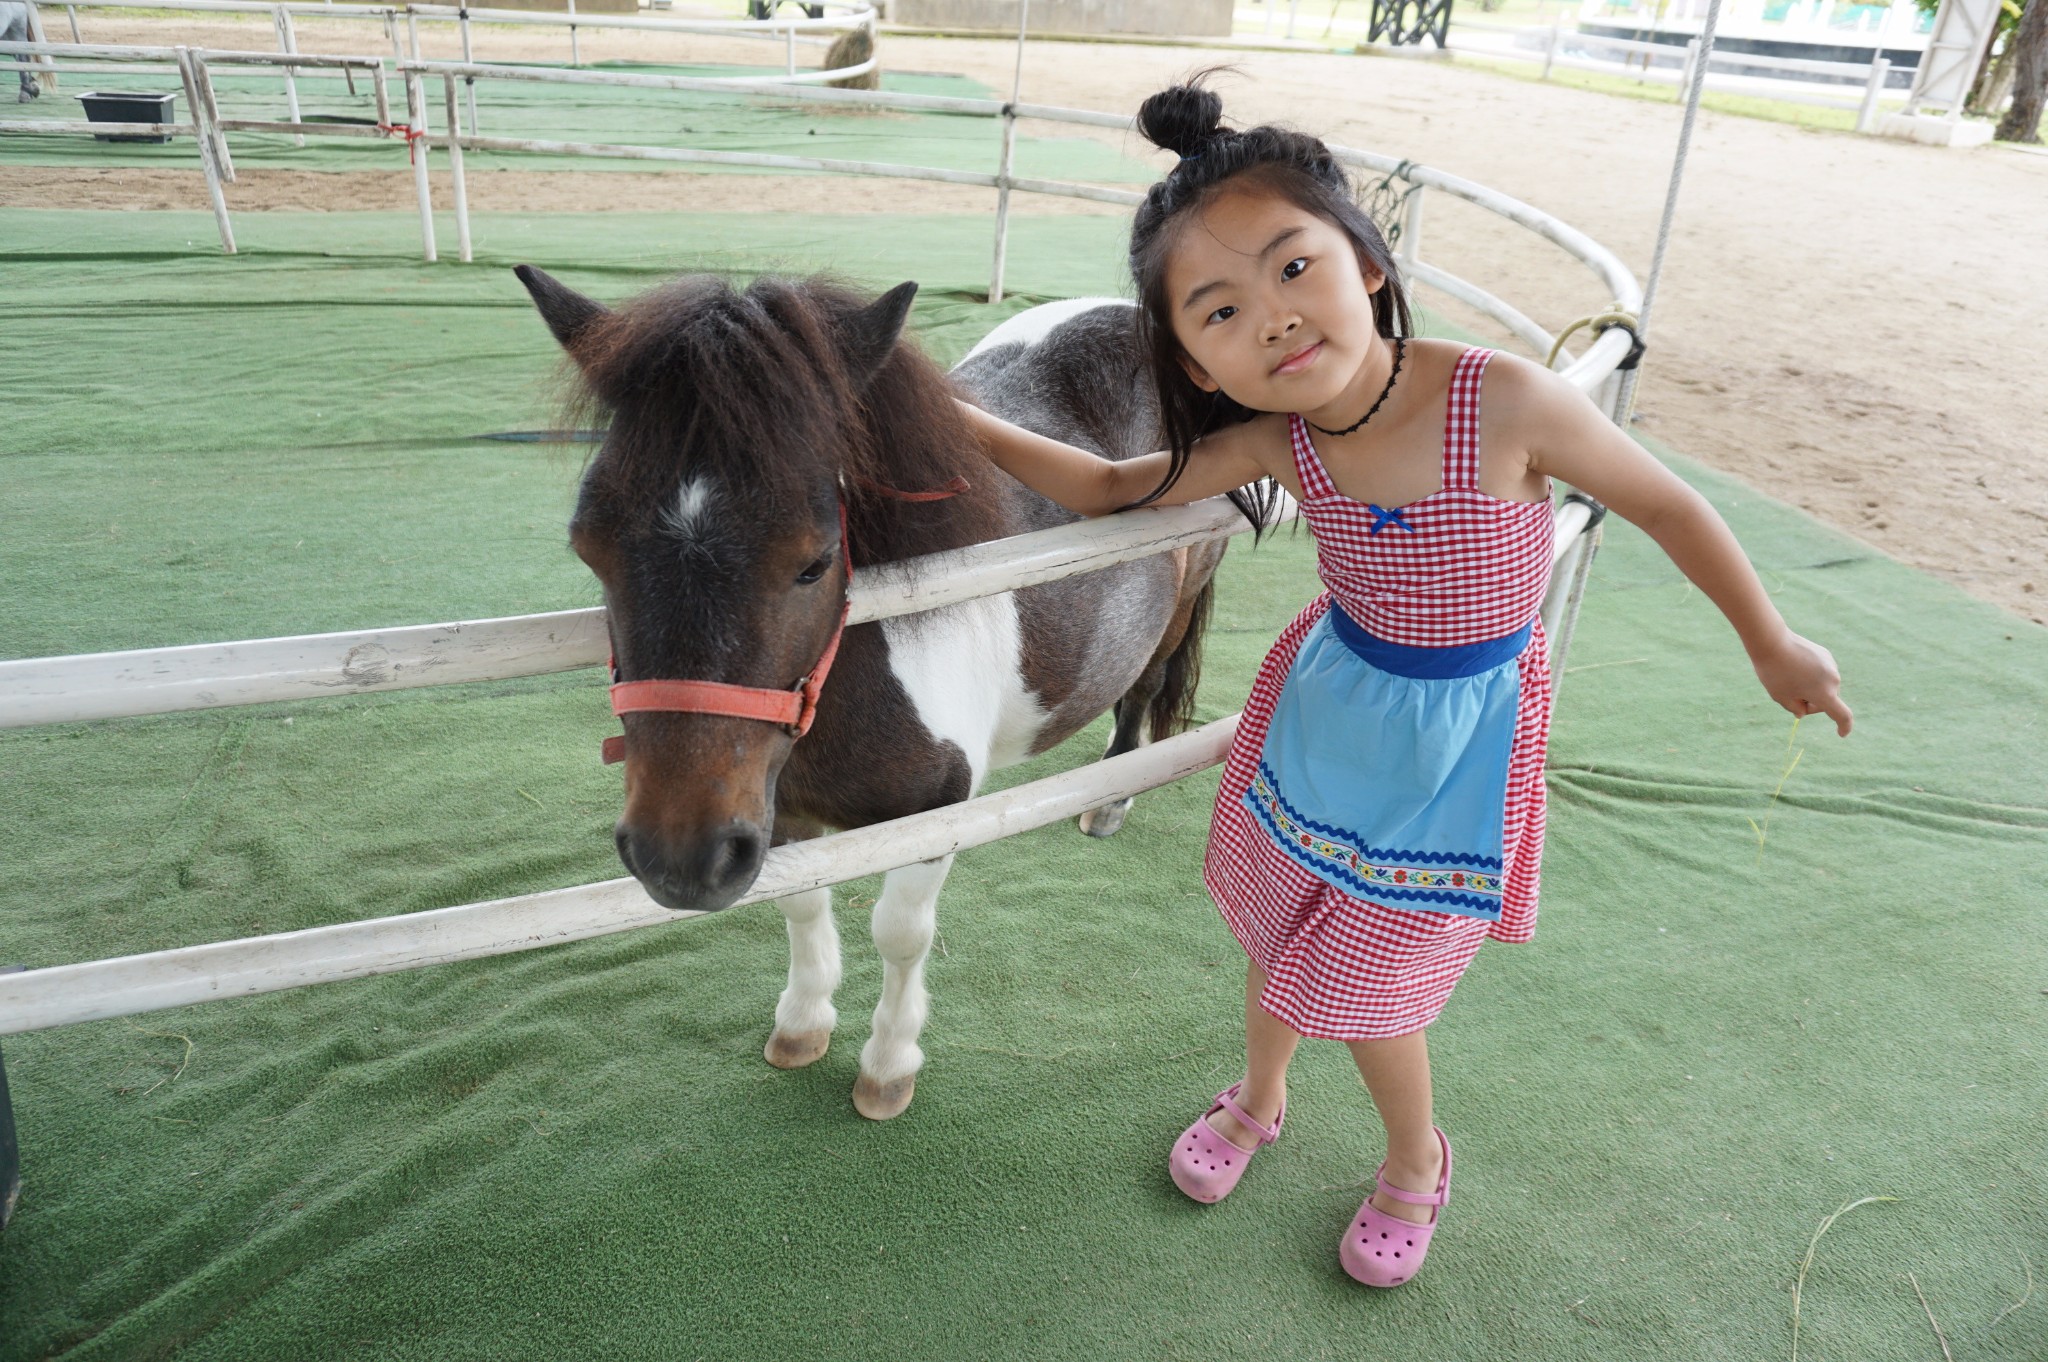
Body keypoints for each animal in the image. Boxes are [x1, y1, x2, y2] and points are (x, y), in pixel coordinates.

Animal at [520, 266, 1220, 1114]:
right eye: (588, 547)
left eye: (816, 560)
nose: (676, 860)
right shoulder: (772, 810)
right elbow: (801, 902)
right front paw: (802, 1024)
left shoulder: (934, 812)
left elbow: (900, 932)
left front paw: (888, 1066)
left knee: (1142, 690)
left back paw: (1111, 798)